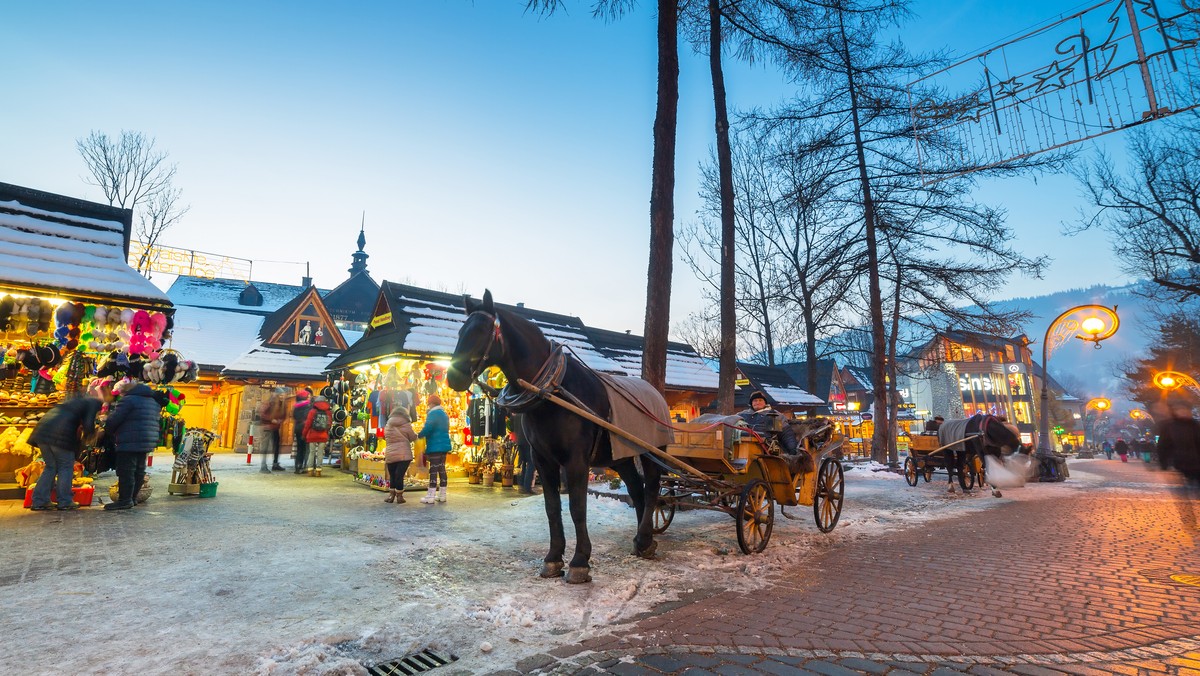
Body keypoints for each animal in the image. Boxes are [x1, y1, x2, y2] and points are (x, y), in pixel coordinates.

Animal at [446, 289, 667, 581]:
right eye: (461, 331)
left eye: (481, 331)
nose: (453, 377)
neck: (551, 392)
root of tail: (655, 393)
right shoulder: (543, 459)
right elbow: (552, 507)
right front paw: (553, 558)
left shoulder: (576, 461)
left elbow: (577, 507)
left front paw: (580, 561)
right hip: (620, 456)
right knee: (636, 488)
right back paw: (642, 542)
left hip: (653, 451)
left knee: (651, 487)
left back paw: (645, 538)